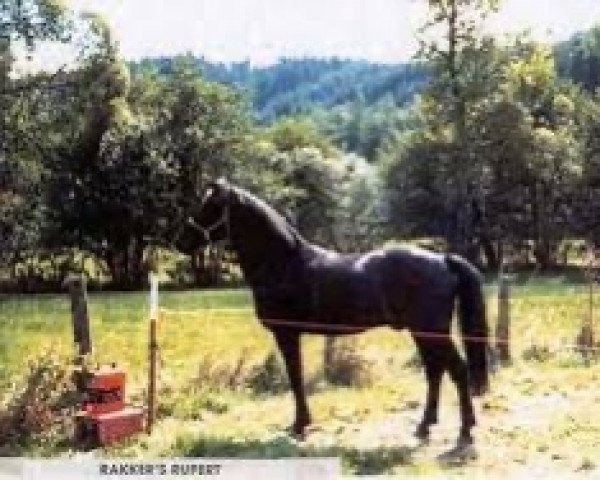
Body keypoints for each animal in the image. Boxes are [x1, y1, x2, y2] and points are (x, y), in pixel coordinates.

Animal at [172, 179, 488, 446]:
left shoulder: (286, 333)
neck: (284, 264)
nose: (180, 242)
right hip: (422, 332)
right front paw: (302, 423)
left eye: (210, 206)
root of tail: (442, 259)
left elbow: (295, 376)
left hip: (432, 331)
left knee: (458, 370)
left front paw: (300, 425)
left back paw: (465, 431)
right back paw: (425, 426)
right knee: (435, 371)